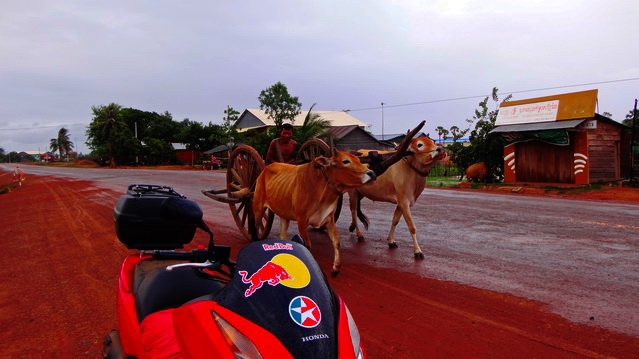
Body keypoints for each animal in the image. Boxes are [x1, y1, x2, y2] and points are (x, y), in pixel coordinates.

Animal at [252, 148, 378, 276]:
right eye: (346, 161)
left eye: (358, 160)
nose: (372, 173)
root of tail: (265, 169)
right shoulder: (301, 221)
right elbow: (307, 245)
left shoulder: (329, 219)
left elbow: (336, 241)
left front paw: (336, 267)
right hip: (258, 209)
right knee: (256, 227)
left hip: (284, 215)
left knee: (282, 235)